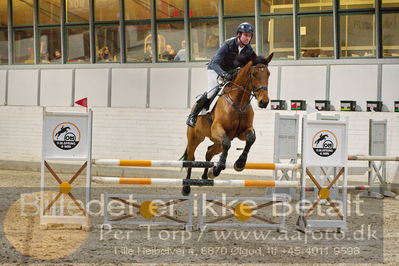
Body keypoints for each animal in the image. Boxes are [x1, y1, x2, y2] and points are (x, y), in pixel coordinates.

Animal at [181, 52, 276, 195]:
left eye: (268, 74)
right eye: (254, 74)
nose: (263, 102)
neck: (239, 102)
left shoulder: (243, 131)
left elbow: (251, 139)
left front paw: (239, 164)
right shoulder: (217, 128)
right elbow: (227, 144)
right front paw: (218, 168)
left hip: (216, 142)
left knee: (209, 152)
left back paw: (206, 176)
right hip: (195, 138)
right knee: (191, 158)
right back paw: (186, 187)